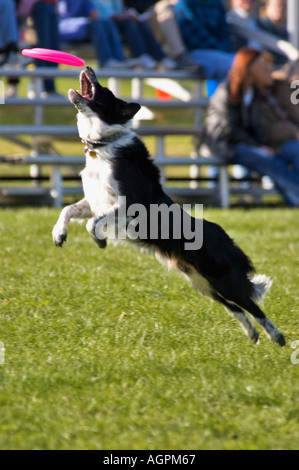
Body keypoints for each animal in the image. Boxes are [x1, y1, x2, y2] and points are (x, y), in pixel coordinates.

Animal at [52, 67, 286, 346]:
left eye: (104, 91)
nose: (89, 68)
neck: (102, 145)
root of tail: (227, 240)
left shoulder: (129, 204)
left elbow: (92, 223)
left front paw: (99, 240)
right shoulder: (93, 202)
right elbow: (68, 211)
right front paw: (59, 234)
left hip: (223, 279)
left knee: (252, 306)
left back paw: (277, 336)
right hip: (202, 283)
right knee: (235, 308)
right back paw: (252, 334)